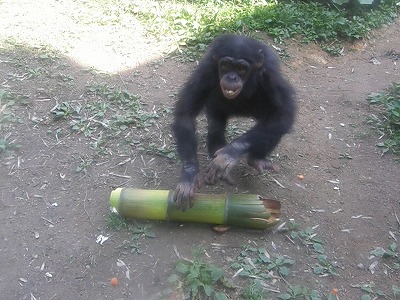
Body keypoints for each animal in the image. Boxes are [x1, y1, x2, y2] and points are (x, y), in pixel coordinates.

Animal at [172, 34, 296, 210]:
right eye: (225, 65)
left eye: (242, 68)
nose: (231, 77)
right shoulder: (205, 72)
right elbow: (185, 116)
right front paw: (189, 176)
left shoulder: (271, 77)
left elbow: (282, 116)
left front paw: (228, 155)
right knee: (216, 124)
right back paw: (216, 147)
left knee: (273, 125)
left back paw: (256, 159)